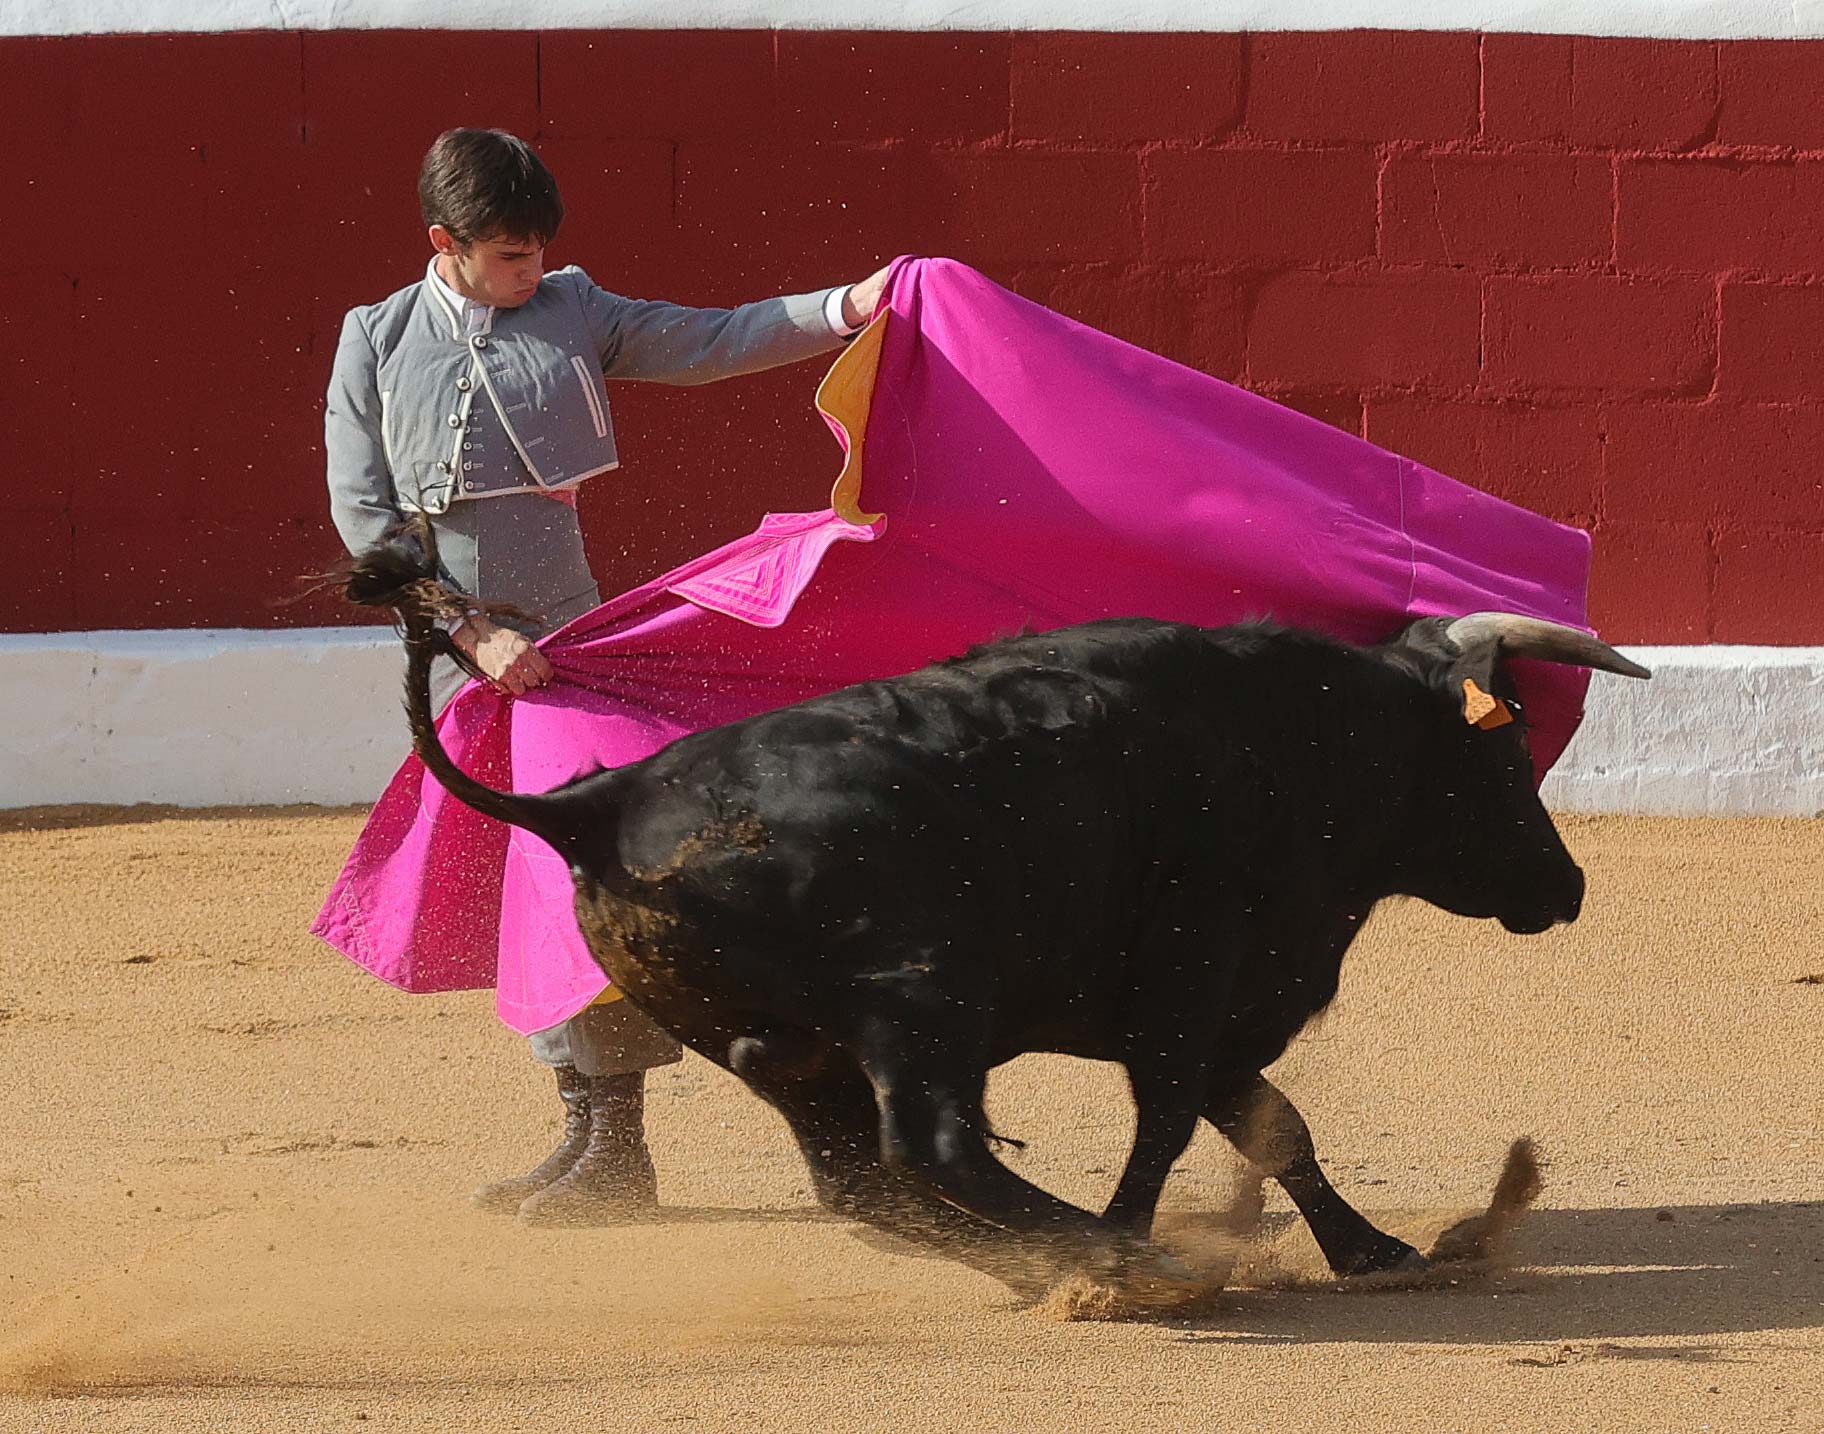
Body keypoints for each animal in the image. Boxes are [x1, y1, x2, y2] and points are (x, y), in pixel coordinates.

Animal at [348, 529, 1648, 1298]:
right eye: (1504, 752)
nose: (1569, 887)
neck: (1303, 737)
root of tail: (599, 801)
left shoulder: (1223, 1013)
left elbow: (1276, 1128)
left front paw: (1373, 1252)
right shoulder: (1191, 988)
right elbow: (1175, 1126)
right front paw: (1135, 1247)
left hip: (773, 1044)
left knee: (858, 1178)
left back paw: (1035, 1259)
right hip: (924, 1004)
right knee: (931, 1148)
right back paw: (1098, 1253)